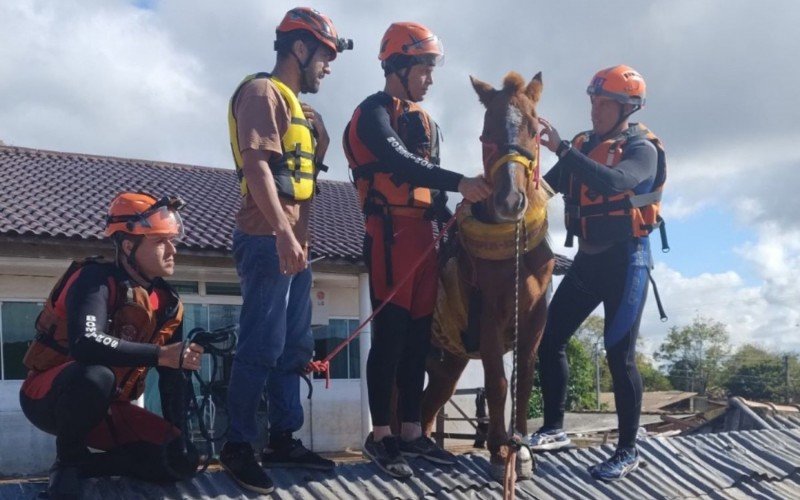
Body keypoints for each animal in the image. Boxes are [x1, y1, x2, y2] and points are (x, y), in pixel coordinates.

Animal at [422, 71, 552, 480]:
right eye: (486, 132)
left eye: (534, 129)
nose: (510, 202)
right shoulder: (489, 317)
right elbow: (497, 381)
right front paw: (498, 451)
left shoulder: (535, 318)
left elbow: (523, 380)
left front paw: (521, 449)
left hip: (449, 362)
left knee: (428, 404)